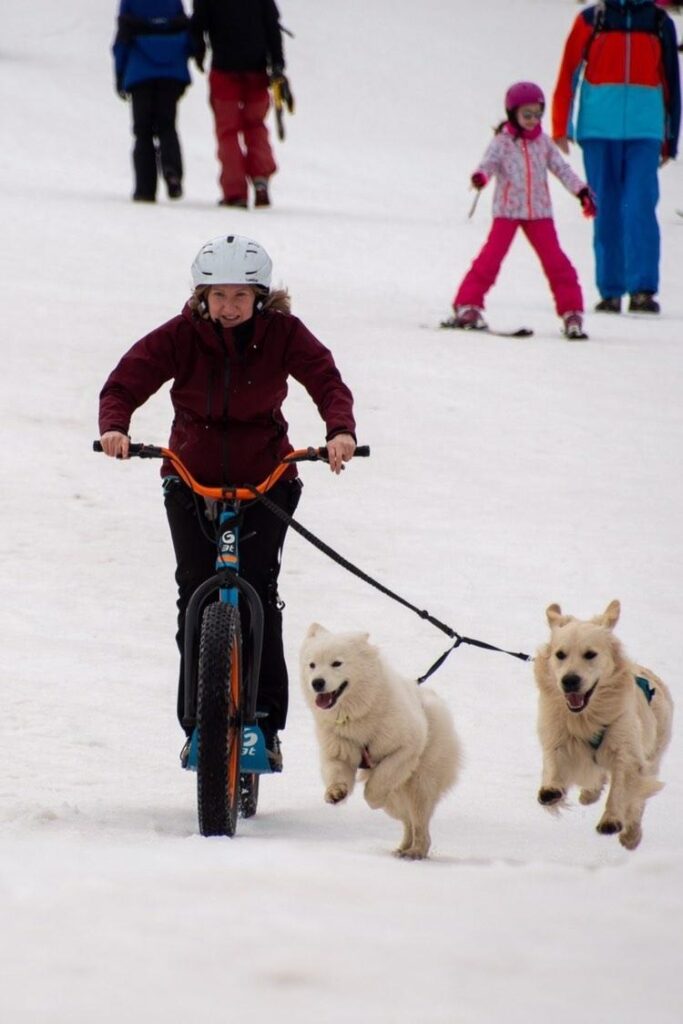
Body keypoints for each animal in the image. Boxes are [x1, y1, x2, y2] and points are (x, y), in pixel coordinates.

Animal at [301, 622, 462, 856]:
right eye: (312, 664)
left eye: (337, 663)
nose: (317, 683)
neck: (359, 715)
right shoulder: (339, 748)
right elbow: (336, 770)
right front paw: (336, 793)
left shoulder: (405, 747)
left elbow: (380, 780)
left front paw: (374, 798)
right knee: (407, 820)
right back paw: (403, 848)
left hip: (421, 781)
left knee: (419, 820)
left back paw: (416, 851)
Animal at [532, 598, 671, 847]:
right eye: (560, 654)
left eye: (590, 654)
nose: (569, 680)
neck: (586, 717)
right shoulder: (557, 735)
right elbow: (554, 763)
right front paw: (550, 789)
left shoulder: (626, 750)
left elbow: (622, 788)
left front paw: (611, 820)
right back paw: (589, 794)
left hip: (654, 753)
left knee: (637, 801)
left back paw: (631, 835)